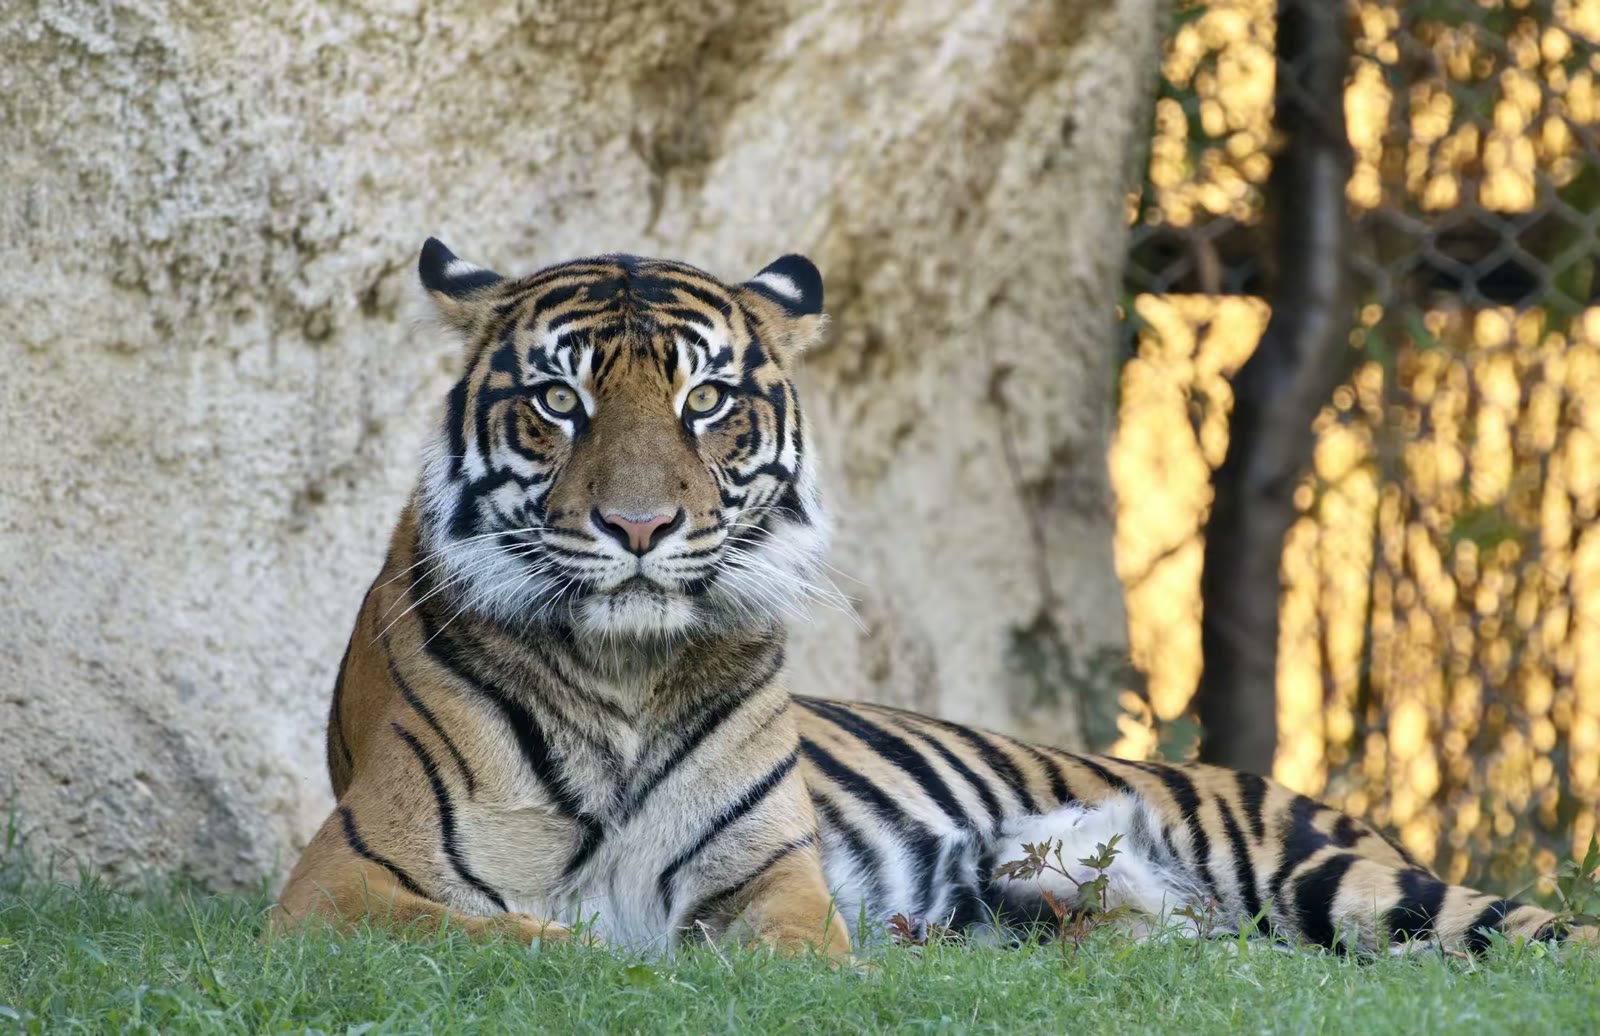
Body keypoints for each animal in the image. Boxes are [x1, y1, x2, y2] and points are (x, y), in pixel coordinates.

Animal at [273, 238, 1593, 958]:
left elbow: (793, 948)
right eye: (560, 401)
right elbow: (544, 939)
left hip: (1331, 876)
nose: (639, 528)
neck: (624, 678)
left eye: (705, 401)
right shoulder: (352, 883)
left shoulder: (773, 876)